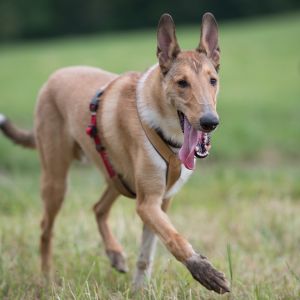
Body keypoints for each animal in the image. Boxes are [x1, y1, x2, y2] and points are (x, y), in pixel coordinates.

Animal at [0, 12, 230, 294]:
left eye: (212, 81)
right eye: (182, 83)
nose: (210, 122)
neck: (166, 129)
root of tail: (52, 77)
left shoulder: (161, 201)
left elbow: (147, 252)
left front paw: (140, 290)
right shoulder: (147, 202)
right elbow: (174, 238)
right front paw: (204, 271)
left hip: (117, 175)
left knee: (98, 208)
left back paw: (115, 254)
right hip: (56, 181)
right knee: (46, 228)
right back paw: (47, 279)